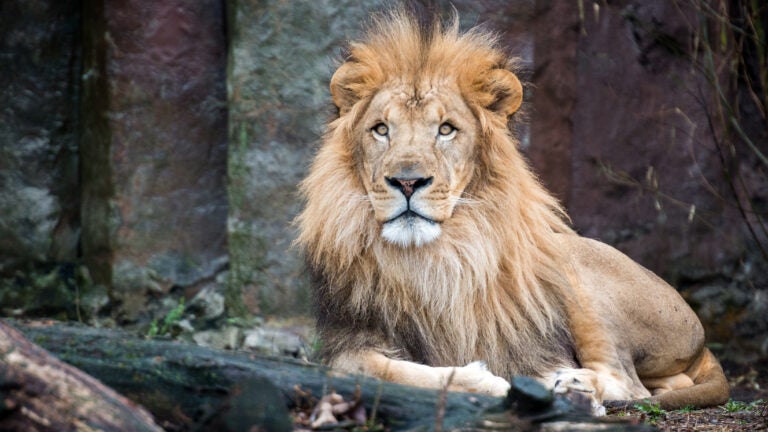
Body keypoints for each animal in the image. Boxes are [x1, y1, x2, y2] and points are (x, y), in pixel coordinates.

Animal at [296, 9, 732, 416]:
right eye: (381, 129)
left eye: (446, 129)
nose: (407, 182)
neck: (430, 260)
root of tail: (702, 337)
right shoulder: (347, 340)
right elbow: (374, 370)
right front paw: (484, 380)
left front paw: (503, 380)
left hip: (572, 267)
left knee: (629, 383)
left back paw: (570, 386)